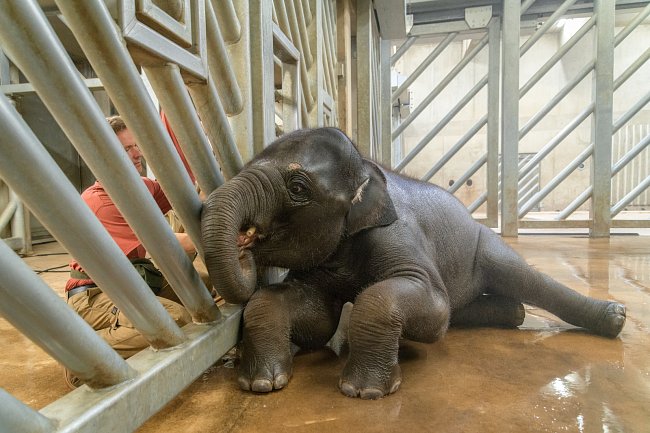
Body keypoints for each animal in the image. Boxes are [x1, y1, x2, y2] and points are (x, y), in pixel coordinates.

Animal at [201, 127, 624, 398]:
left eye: (298, 187)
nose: (244, 244)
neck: (367, 168)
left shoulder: (399, 234)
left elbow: (430, 307)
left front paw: (363, 391)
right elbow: (318, 319)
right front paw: (260, 385)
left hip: (483, 243)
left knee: (521, 278)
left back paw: (614, 318)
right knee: (467, 307)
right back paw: (514, 313)